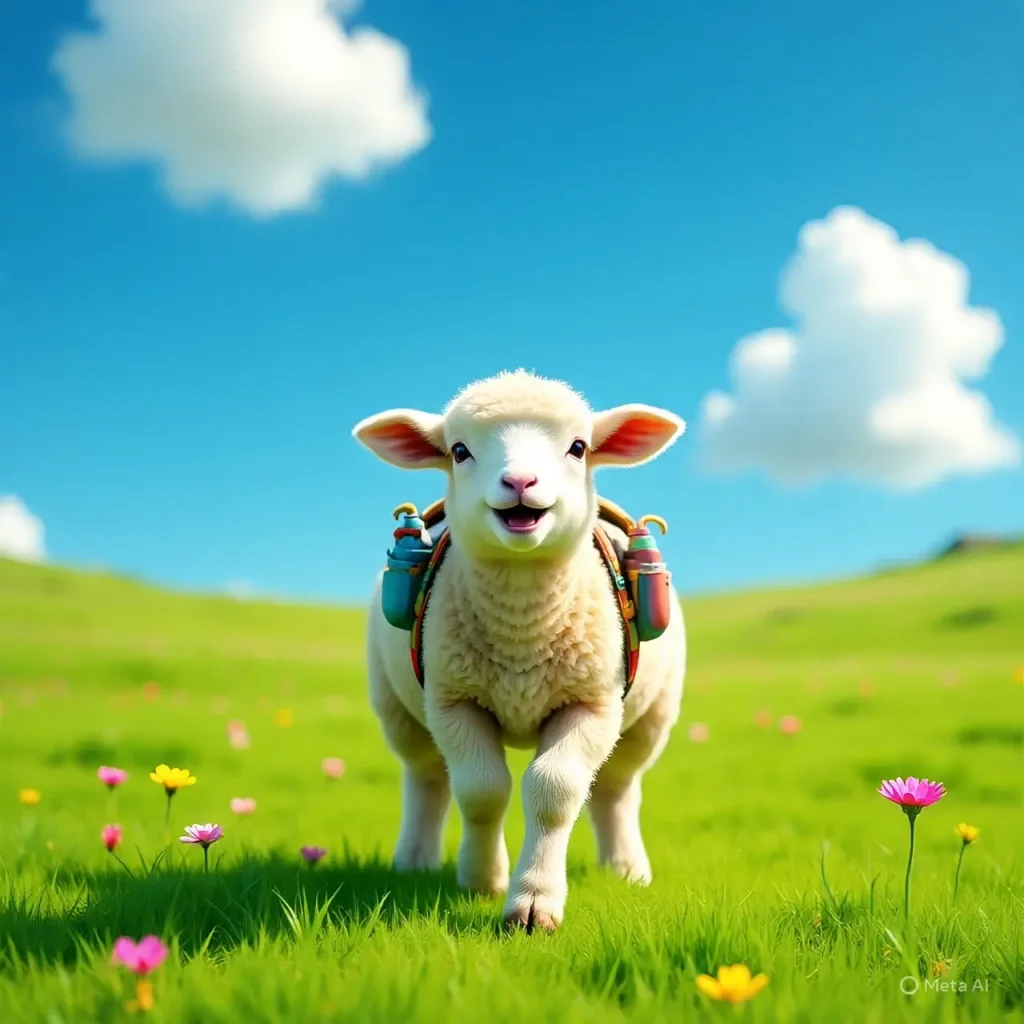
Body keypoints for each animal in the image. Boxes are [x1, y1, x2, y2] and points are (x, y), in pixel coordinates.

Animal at [352, 369, 687, 931]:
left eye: (578, 447)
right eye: (459, 450)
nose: (520, 484)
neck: (522, 628)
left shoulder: (593, 703)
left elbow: (554, 791)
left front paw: (534, 902)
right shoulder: (453, 701)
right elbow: (482, 791)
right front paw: (482, 879)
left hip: (651, 717)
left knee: (616, 788)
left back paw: (625, 869)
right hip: (397, 707)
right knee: (426, 778)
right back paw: (414, 861)